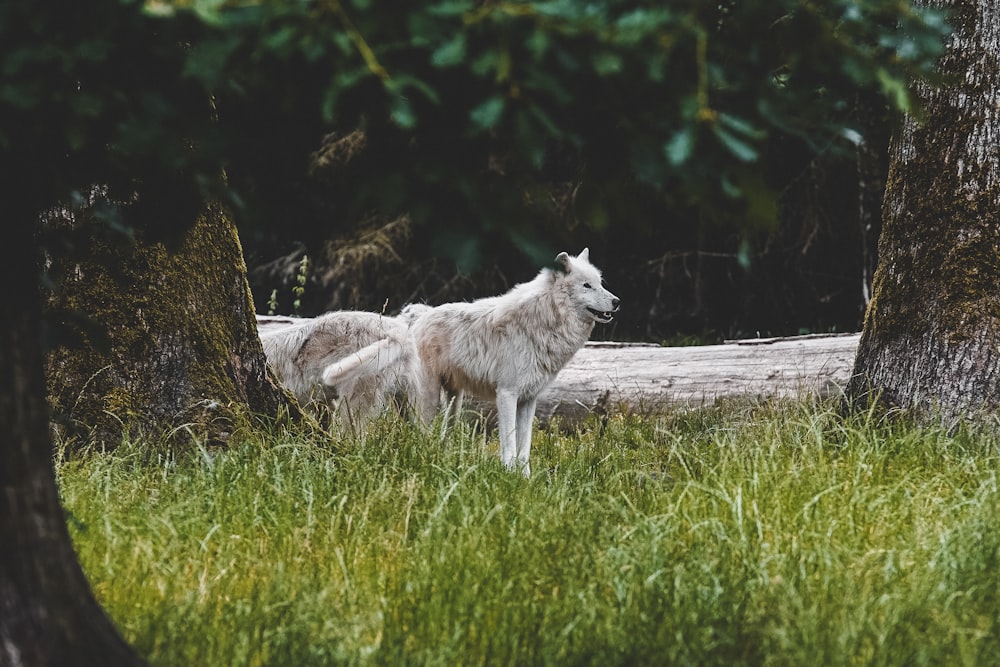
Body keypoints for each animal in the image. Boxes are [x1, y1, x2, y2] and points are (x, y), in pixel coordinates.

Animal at [330, 249, 616, 474]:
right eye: (586, 286)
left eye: (600, 283)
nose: (617, 301)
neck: (543, 320)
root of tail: (414, 318)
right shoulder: (507, 395)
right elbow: (509, 444)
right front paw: (508, 476)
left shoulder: (529, 400)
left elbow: (524, 449)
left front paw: (525, 480)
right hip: (429, 398)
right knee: (422, 434)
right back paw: (424, 463)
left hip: (454, 401)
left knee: (442, 434)